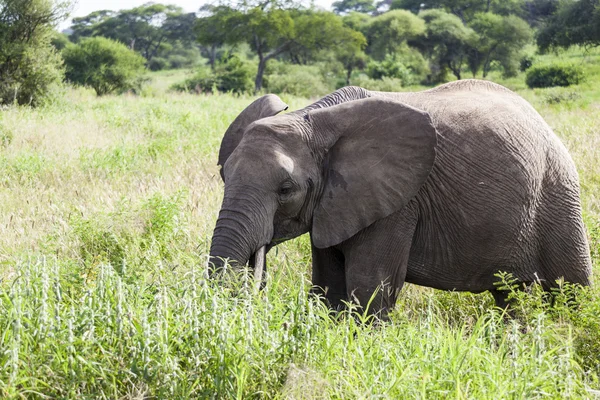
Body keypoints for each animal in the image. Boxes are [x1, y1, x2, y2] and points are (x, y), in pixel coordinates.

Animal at [209, 80, 592, 318]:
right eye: (225, 176)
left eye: (286, 190)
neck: (312, 118)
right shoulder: (334, 203)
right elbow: (329, 288)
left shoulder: (397, 206)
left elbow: (369, 292)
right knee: (509, 297)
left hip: (558, 194)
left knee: (571, 294)